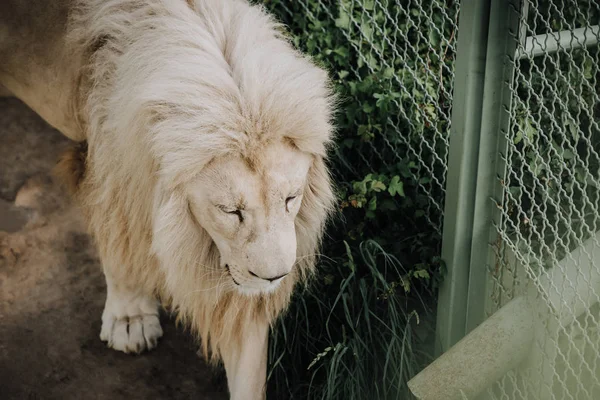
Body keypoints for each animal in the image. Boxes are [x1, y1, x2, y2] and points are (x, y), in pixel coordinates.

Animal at [0, 1, 332, 398]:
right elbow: (119, 245)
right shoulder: (109, 166)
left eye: (290, 198)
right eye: (229, 211)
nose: (274, 277)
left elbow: (249, 364)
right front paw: (129, 318)